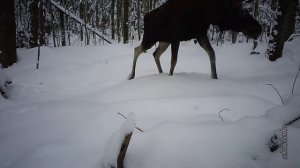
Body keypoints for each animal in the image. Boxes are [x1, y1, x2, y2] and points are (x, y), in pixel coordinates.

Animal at [127, 0, 262, 80]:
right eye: (241, 12)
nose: (258, 29)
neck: (207, 14)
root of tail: (146, 16)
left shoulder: (200, 35)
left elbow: (212, 54)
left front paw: (214, 77)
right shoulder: (176, 38)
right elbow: (173, 61)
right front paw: (170, 77)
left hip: (164, 41)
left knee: (155, 54)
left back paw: (160, 73)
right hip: (150, 38)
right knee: (137, 49)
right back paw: (131, 75)